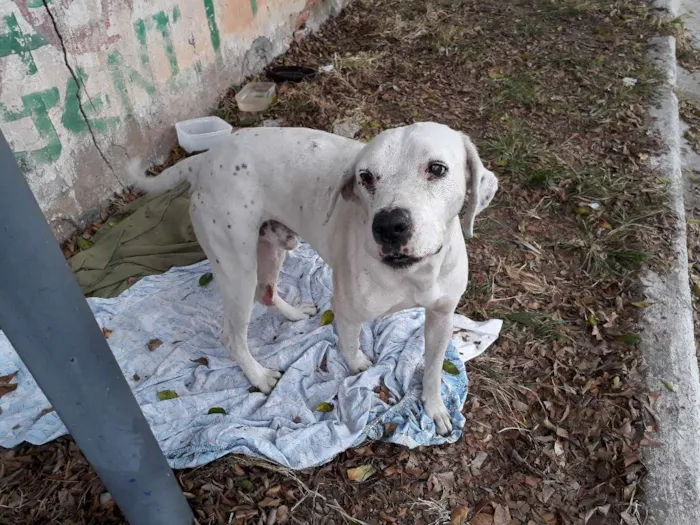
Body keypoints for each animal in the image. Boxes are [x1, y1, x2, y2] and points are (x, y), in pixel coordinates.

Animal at [127, 124, 498, 434]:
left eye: (436, 169)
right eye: (366, 177)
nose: (388, 225)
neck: (413, 272)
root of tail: (206, 158)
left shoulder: (441, 317)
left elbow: (434, 368)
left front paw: (434, 407)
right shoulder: (347, 312)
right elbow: (350, 348)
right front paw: (359, 367)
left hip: (272, 248)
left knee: (266, 291)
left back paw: (293, 314)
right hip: (236, 269)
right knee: (233, 334)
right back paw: (260, 376)